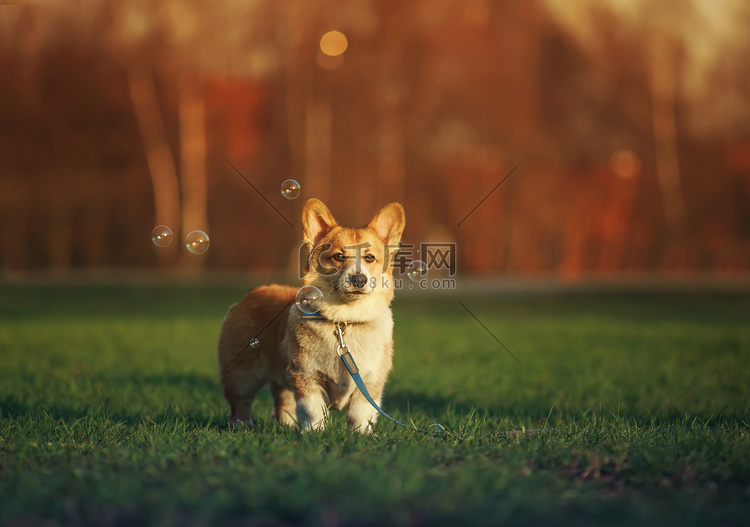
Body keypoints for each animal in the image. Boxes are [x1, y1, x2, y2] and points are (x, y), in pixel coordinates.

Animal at [216, 198, 406, 434]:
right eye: (339, 256)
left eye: (370, 257)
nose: (359, 279)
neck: (345, 320)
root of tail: (252, 292)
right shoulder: (307, 377)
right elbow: (313, 410)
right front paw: (314, 434)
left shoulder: (370, 382)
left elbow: (360, 414)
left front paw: (360, 436)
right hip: (241, 376)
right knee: (240, 403)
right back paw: (242, 427)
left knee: (283, 401)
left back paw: (286, 425)